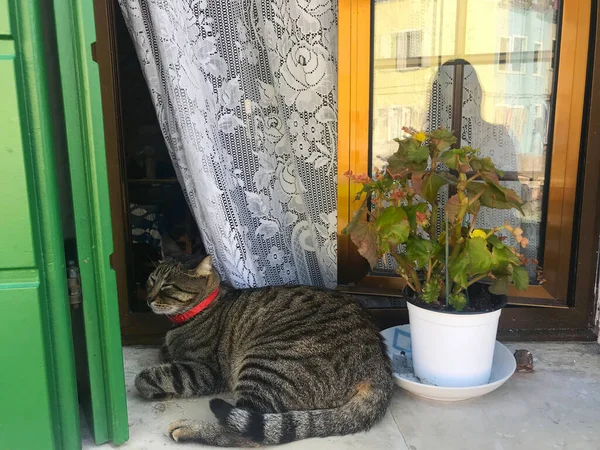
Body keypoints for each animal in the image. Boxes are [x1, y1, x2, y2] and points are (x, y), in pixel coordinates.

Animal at [136, 239, 394, 446]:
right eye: (151, 279)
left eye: (167, 286)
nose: (147, 299)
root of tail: (379, 366)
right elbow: (164, 354)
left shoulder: (206, 371)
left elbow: (150, 377)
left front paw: (153, 387)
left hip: (266, 363)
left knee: (246, 434)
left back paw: (188, 428)